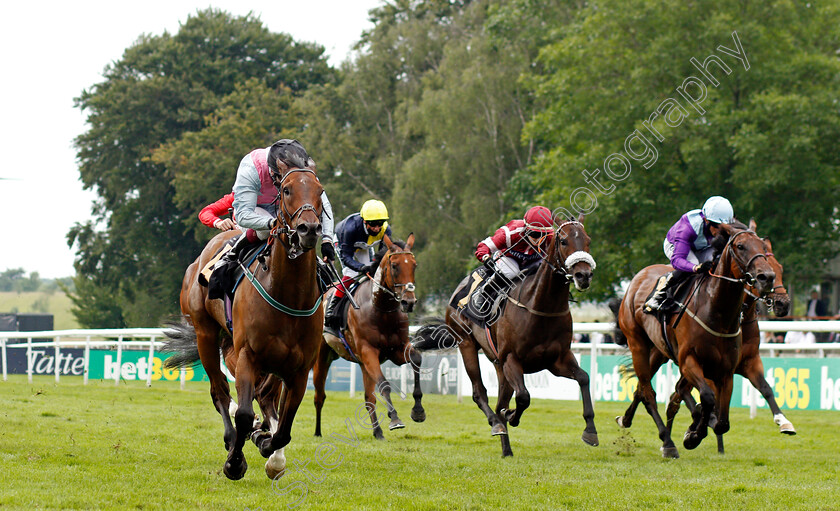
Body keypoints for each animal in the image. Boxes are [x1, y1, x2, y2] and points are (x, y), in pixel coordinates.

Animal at [414, 214, 596, 458]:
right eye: (564, 241)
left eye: (587, 241)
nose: (583, 275)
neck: (539, 307)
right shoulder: (511, 359)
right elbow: (524, 397)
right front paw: (511, 416)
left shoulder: (557, 360)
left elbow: (584, 378)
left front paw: (590, 431)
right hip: (467, 344)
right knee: (480, 393)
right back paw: (497, 423)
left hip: (499, 366)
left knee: (501, 398)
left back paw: (506, 448)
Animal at [616, 226, 776, 458]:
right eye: (740, 246)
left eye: (763, 247)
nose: (767, 277)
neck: (717, 312)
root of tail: (637, 279)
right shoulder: (689, 361)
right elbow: (707, 398)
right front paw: (693, 435)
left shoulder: (726, 370)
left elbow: (723, 422)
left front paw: (697, 428)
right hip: (637, 343)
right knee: (649, 393)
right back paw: (668, 442)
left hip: (658, 351)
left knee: (641, 388)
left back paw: (626, 419)